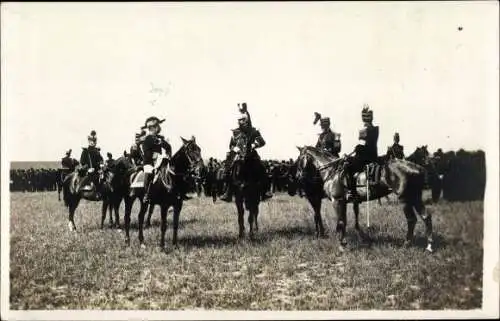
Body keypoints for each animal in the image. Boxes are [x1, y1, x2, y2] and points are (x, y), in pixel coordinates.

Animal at [296, 146, 434, 252]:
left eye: (299, 159)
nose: (299, 176)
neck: (332, 172)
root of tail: (418, 168)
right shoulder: (344, 202)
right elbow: (344, 221)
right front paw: (344, 241)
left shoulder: (337, 201)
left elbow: (341, 222)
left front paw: (342, 244)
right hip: (415, 197)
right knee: (426, 216)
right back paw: (429, 245)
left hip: (405, 199)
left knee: (411, 220)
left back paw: (407, 243)